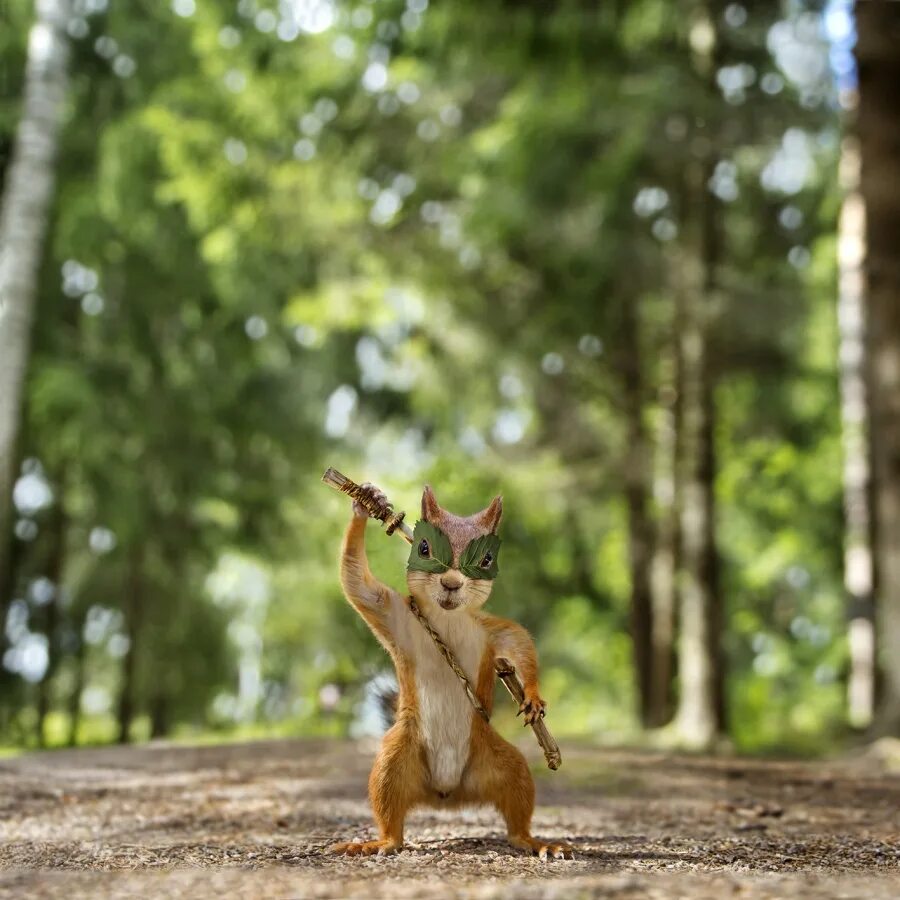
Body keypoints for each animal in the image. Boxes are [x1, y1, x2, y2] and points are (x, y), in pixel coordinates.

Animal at [326, 482, 572, 860]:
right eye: (424, 547)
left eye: (486, 559)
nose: (452, 583)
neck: (446, 618)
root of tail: (446, 795)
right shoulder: (395, 614)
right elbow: (359, 586)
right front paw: (366, 503)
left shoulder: (490, 631)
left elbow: (521, 646)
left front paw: (532, 695)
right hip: (394, 760)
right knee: (391, 818)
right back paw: (375, 843)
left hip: (506, 766)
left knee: (517, 814)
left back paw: (539, 843)